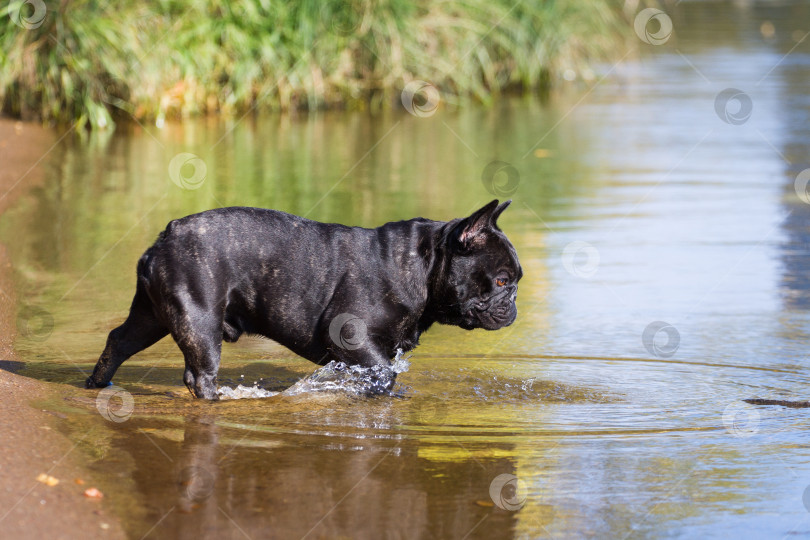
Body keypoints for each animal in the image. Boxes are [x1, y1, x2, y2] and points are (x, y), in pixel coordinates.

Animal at [85, 200, 520, 398]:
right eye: (501, 280)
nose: (513, 303)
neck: (422, 265)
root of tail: (167, 235)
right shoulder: (351, 337)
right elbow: (383, 372)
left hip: (152, 315)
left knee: (119, 339)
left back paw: (97, 383)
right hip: (199, 320)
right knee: (199, 372)